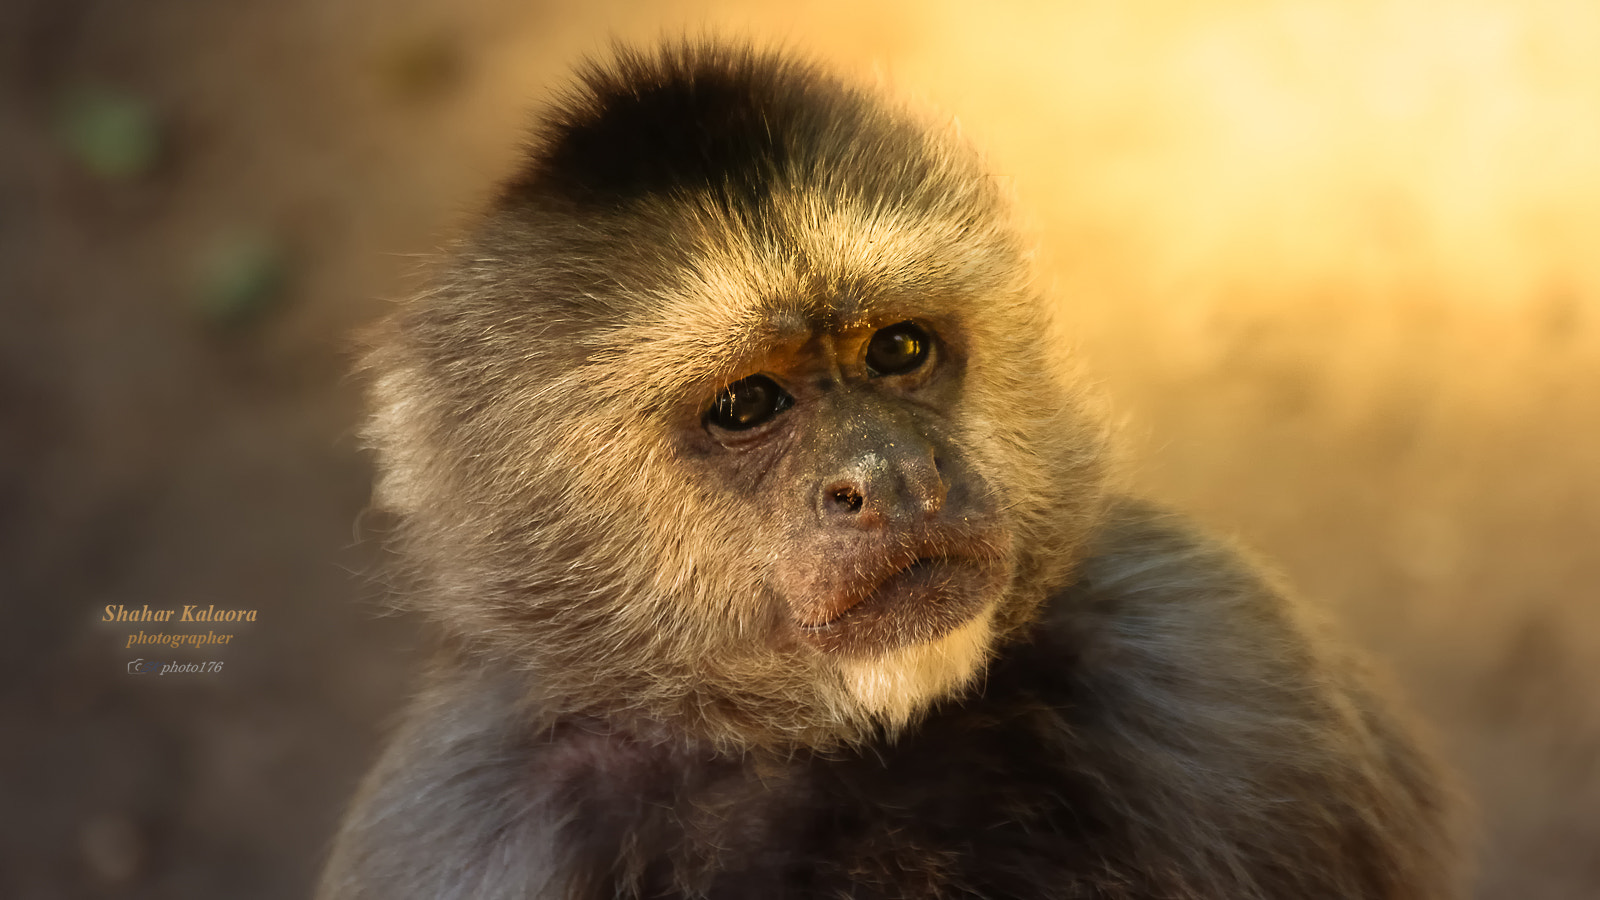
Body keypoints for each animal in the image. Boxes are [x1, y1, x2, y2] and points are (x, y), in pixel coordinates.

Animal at [318, 42, 1462, 900]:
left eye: (898, 350)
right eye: (747, 406)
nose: (896, 475)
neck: (847, 747)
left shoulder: (1216, 660)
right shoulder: (472, 830)